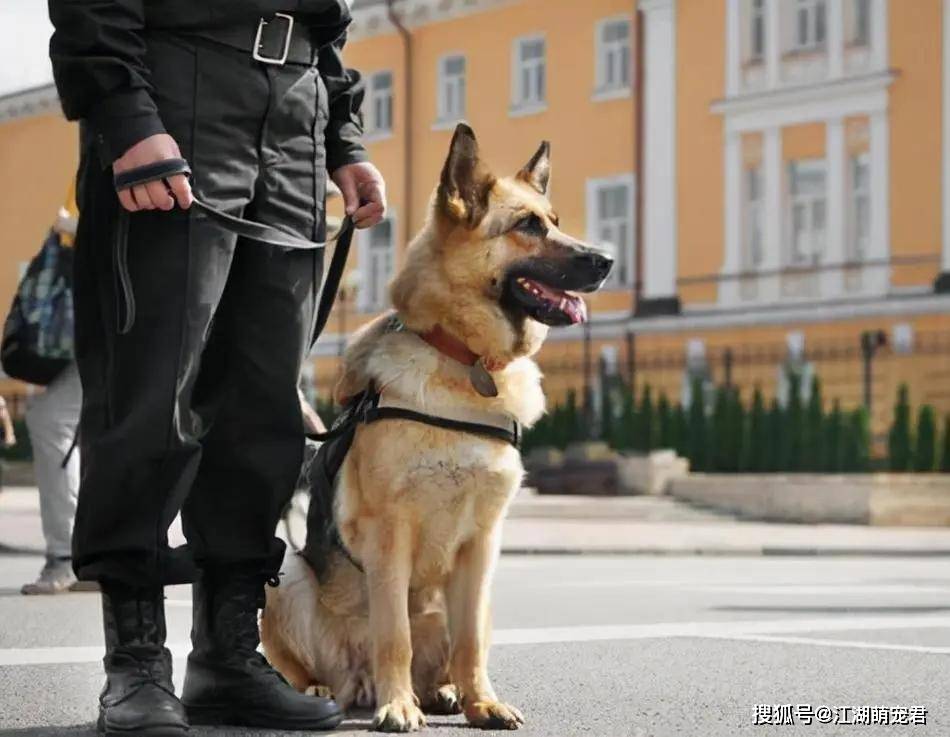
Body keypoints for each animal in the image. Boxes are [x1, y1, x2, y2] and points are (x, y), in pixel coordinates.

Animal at [264, 123, 612, 728]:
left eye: (554, 221)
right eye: (527, 226)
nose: (608, 260)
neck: (465, 361)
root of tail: (354, 686)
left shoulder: (482, 545)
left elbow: (470, 641)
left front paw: (482, 702)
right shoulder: (390, 535)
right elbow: (394, 634)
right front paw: (398, 706)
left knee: (451, 650)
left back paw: (443, 691)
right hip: (286, 576)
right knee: (312, 664)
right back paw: (325, 692)